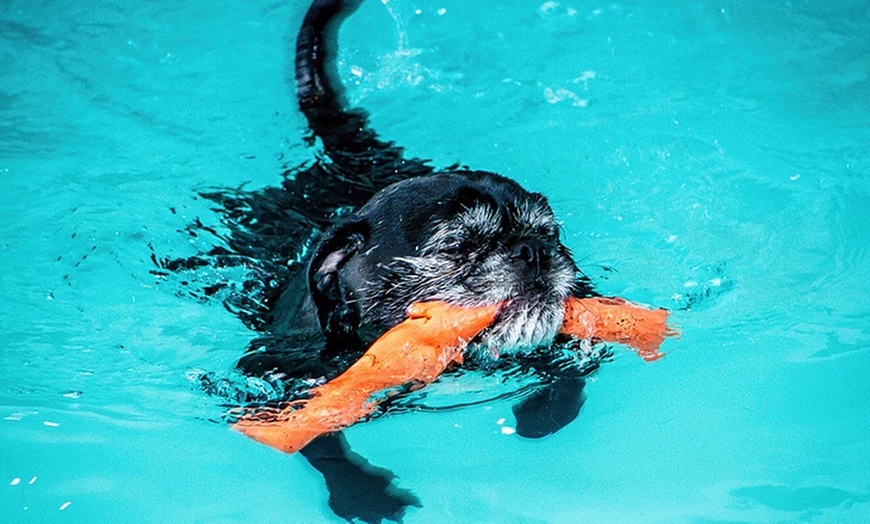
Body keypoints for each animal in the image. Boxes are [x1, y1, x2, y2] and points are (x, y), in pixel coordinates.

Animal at [157, 1, 604, 524]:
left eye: (551, 234)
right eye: (457, 244)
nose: (533, 250)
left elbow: (573, 374)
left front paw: (540, 417)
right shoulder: (281, 387)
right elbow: (320, 440)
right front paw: (364, 495)